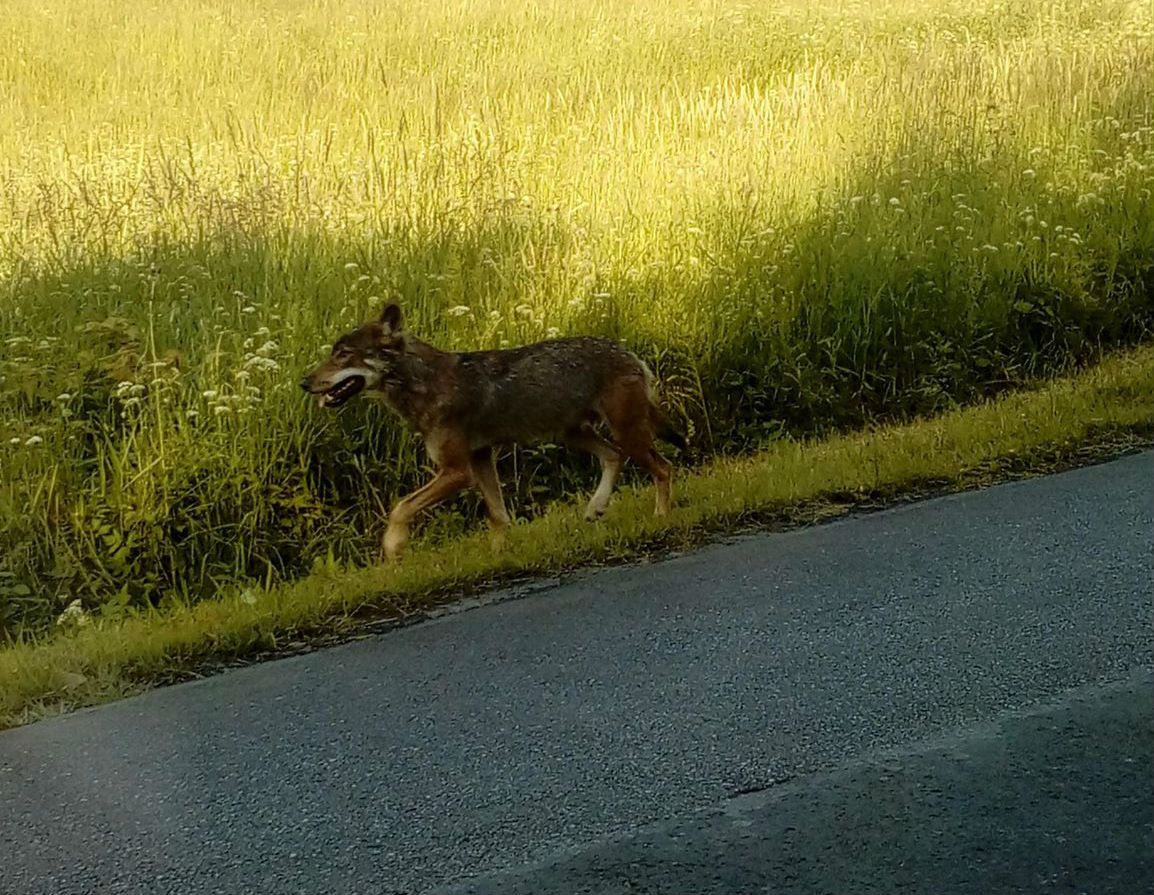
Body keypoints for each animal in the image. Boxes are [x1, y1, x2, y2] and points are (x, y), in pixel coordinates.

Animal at [300, 306, 683, 558]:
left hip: (625, 434)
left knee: (663, 468)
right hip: (573, 434)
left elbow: (400, 507)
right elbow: (498, 518)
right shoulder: (481, 459)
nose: (304, 383)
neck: (424, 385)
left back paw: (661, 518)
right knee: (614, 457)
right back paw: (595, 508)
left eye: (343, 355)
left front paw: (393, 549)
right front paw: (501, 557)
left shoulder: (457, 472)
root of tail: (628, 352)